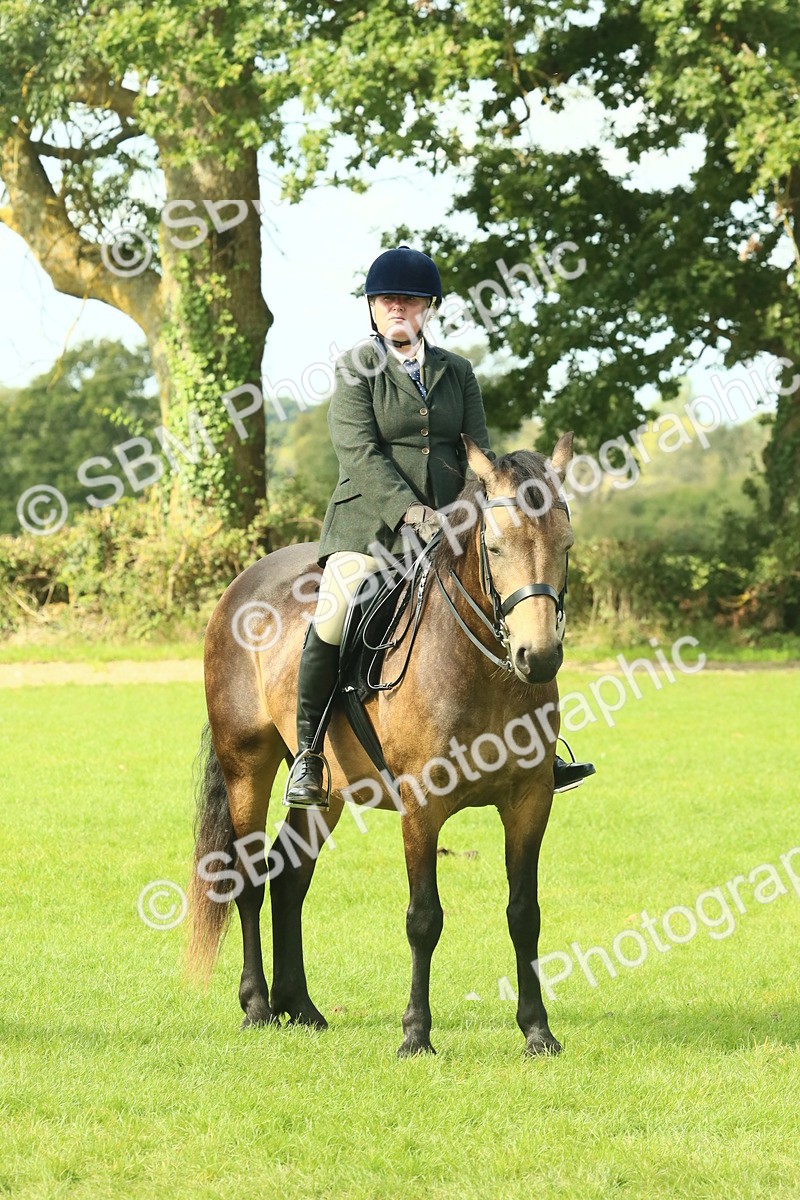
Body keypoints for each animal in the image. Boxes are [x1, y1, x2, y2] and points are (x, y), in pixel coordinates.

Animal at [187, 434, 575, 1056]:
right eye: (494, 546)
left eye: (566, 546)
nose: (537, 658)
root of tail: (241, 586)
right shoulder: (421, 806)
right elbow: (424, 918)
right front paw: (416, 1034)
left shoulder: (529, 801)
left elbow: (524, 914)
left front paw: (537, 1031)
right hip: (246, 765)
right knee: (248, 877)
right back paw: (258, 1007)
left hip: (328, 791)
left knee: (289, 878)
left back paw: (301, 1007)